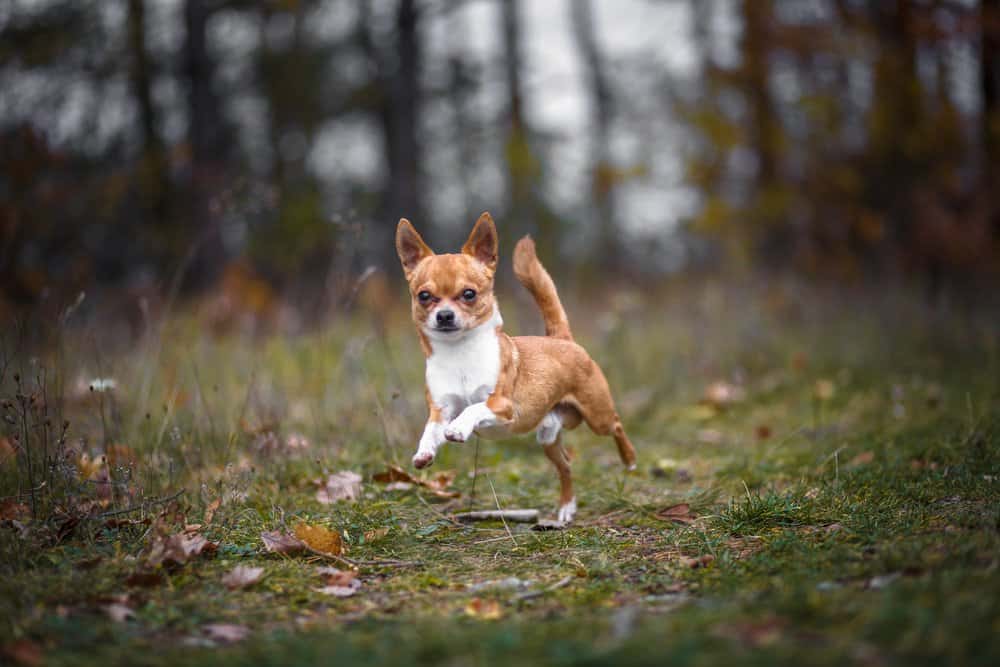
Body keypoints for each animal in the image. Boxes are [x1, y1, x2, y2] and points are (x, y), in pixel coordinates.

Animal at [394, 211, 636, 524]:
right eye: (424, 296)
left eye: (469, 294)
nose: (444, 315)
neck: (459, 353)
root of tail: (562, 338)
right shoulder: (441, 410)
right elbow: (430, 430)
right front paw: (425, 452)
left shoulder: (502, 404)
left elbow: (474, 408)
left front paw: (458, 429)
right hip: (548, 436)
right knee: (566, 465)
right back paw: (567, 507)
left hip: (597, 417)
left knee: (616, 424)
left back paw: (629, 460)